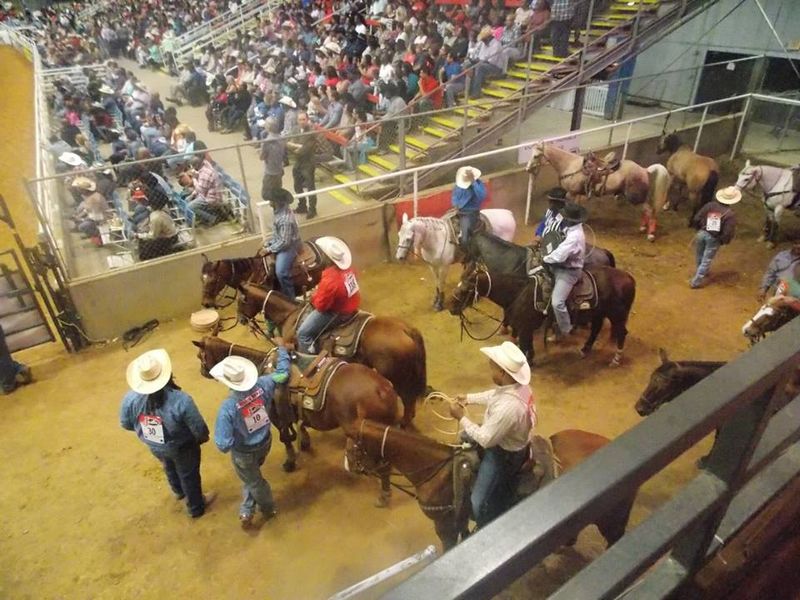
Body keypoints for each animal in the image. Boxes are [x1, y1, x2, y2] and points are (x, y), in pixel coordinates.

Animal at [191, 336, 404, 504]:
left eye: (201, 355)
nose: (202, 371)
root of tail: (383, 389)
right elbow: (301, 426)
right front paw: (305, 442)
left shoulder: (276, 416)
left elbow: (285, 438)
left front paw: (290, 461)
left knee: (384, 465)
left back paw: (384, 495)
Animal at [236, 284, 428, 428]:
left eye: (241, 301)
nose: (241, 320)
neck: (290, 315)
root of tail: (406, 329)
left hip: (397, 377)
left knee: (407, 399)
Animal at [346, 420, 636, 552]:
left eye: (351, 446)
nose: (349, 467)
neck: (435, 470)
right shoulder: (459, 518)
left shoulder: (444, 524)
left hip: (611, 520)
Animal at [446, 262, 636, 366]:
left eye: (466, 288)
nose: (449, 306)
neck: (519, 292)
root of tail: (628, 278)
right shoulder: (525, 328)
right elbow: (527, 347)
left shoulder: (525, 329)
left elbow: (525, 347)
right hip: (599, 313)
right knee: (596, 329)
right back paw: (584, 350)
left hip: (617, 316)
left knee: (622, 333)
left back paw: (616, 360)